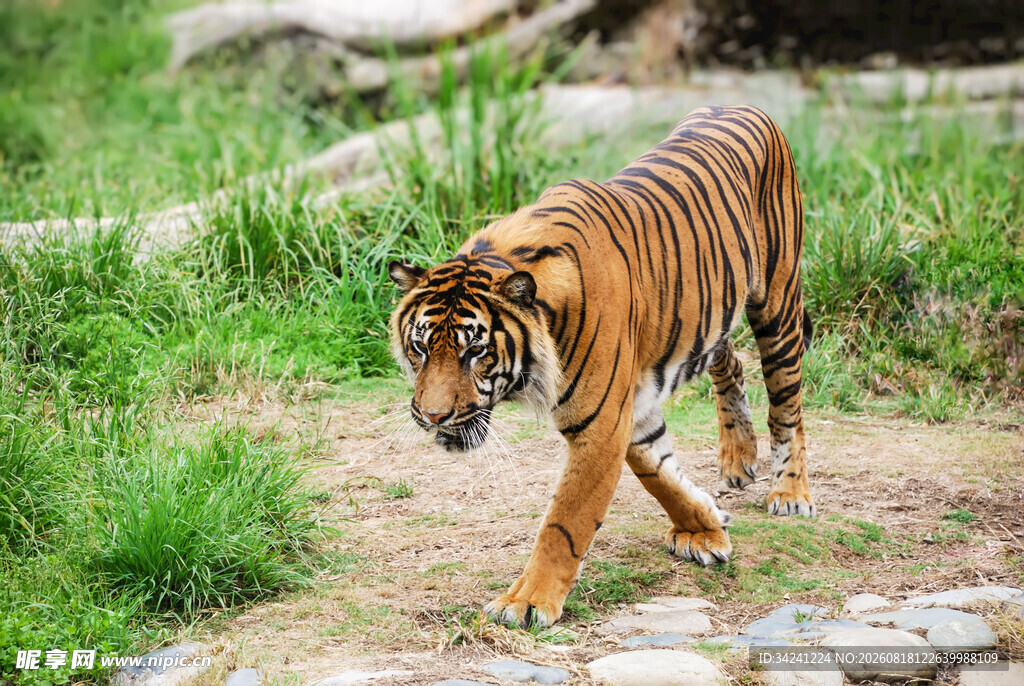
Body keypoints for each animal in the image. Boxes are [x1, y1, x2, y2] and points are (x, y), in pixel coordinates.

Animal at [388, 105, 815, 629]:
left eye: (475, 352)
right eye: (421, 347)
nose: (433, 417)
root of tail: (745, 107)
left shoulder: (602, 423)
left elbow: (565, 522)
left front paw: (525, 603)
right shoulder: (631, 407)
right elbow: (657, 471)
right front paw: (706, 528)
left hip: (777, 305)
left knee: (787, 407)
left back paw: (790, 493)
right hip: (709, 316)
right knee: (729, 361)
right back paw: (738, 460)